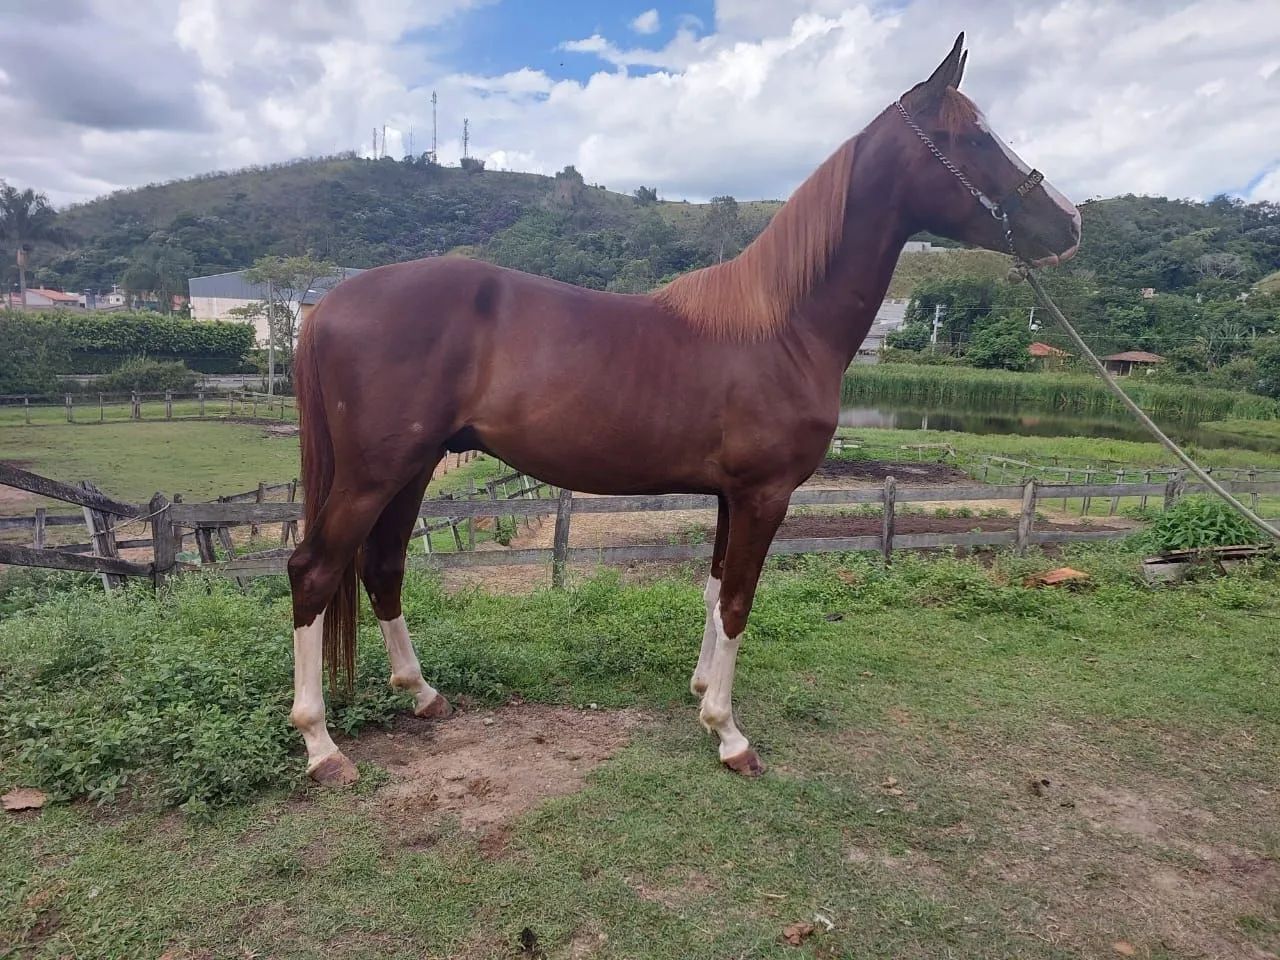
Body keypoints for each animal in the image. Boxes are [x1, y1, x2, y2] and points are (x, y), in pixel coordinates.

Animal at [286, 34, 1080, 785]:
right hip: (374, 474)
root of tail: (325, 303)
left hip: (414, 467)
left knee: (383, 566)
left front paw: (701, 692)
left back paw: (423, 695)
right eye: (974, 137)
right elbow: (738, 602)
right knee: (313, 571)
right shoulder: (765, 494)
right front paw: (730, 736)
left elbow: (712, 589)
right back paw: (322, 748)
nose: (1070, 225)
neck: (782, 326)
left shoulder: (732, 495)